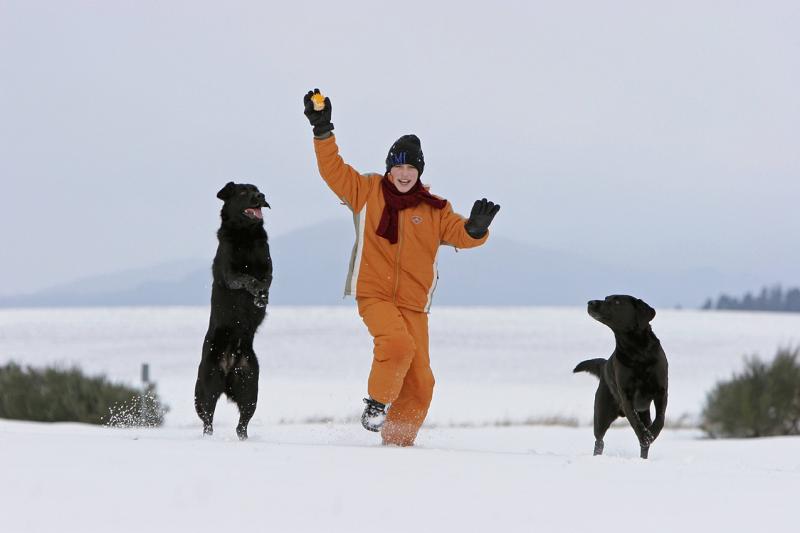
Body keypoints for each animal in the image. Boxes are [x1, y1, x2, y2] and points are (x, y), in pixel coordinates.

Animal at [193, 181, 272, 438]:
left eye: (257, 189)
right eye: (243, 192)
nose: (261, 196)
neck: (246, 235)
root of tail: (229, 366)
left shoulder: (268, 267)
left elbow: (265, 280)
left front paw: (262, 298)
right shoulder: (230, 273)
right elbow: (247, 278)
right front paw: (257, 293)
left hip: (250, 386)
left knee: (241, 425)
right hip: (206, 387)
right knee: (207, 420)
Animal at [576, 296, 668, 458]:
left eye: (617, 301)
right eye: (606, 298)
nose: (590, 302)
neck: (638, 352)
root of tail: (604, 365)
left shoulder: (661, 391)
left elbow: (660, 418)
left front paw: (652, 433)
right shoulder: (627, 397)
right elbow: (635, 421)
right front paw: (645, 435)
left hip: (644, 412)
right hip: (601, 414)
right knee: (599, 441)